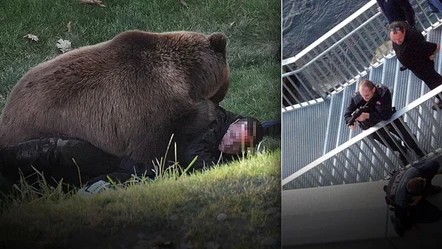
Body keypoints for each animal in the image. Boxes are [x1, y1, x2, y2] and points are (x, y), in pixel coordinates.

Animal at [0, 30, 231, 168]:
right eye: (222, 91)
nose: (219, 105)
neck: (185, 74)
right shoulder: (146, 100)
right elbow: (156, 144)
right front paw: (207, 112)